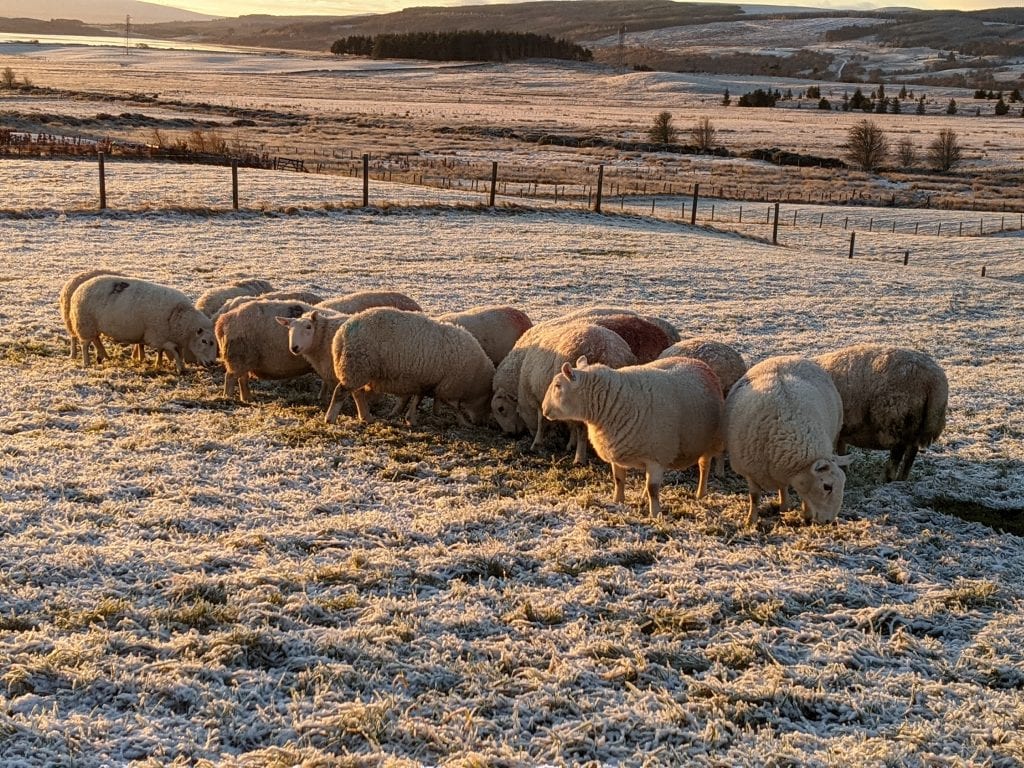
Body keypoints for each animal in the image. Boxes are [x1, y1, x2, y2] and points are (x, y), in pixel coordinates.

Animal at [69, 276, 217, 374]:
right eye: (204, 341)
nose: (212, 363)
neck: (179, 317)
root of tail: (80, 288)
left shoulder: (165, 336)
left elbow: (169, 351)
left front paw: (170, 365)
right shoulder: (156, 335)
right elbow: (173, 349)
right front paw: (179, 368)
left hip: (93, 326)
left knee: (96, 339)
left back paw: (103, 356)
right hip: (85, 323)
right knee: (85, 344)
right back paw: (87, 362)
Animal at [325, 307, 495, 427]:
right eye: (488, 401)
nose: (483, 423)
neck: (474, 376)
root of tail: (340, 335)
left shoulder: (425, 381)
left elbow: (417, 399)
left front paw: (410, 419)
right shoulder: (446, 385)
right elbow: (455, 408)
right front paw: (464, 423)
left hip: (359, 370)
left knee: (357, 393)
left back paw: (366, 417)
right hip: (356, 366)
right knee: (340, 392)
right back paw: (330, 418)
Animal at [542, 355, 725, 515]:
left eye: (558, 385)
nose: (544, 409)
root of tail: (699, 362)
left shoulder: (656, 456)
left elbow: (653, 489)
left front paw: (655, 514)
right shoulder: (617, 449)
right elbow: (619, 479)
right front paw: (617, 501)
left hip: (710, 441)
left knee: (704, 466)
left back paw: (700, 494)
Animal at [725, 355, 853, 526]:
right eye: (827, 486)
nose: (828, 521)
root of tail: (784, 357)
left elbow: (800, 493)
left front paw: (804, 514)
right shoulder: (750, 470)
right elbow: (755, 497)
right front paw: (751, 520)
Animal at [814, 344, 948, 482]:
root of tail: (935, 381)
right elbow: (841, 450)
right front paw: (845, 470)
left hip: (896, 420)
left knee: (897, 453)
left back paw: (885, 479)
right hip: (915, 425)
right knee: (911, 452)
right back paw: (902, 478)